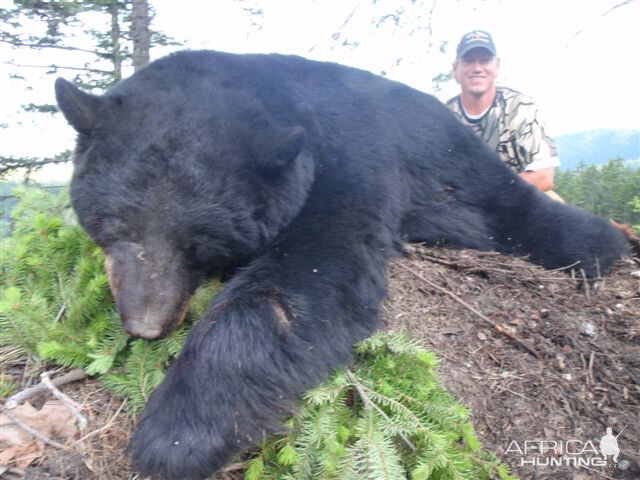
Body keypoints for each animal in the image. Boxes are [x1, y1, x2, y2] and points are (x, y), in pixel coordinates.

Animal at [53, 49, 624, 480]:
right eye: (115, 225)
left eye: (199, 242)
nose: (145, 325)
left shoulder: (350, 156)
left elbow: (311, 274)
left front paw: (177, 431)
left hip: (462, 170)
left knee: (524, 214)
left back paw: (610, 243)